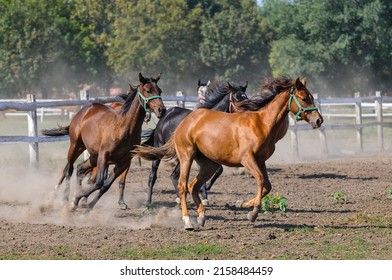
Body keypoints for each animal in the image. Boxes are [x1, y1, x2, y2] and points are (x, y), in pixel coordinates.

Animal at [42, 73, 165, 211]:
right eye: (148, 90)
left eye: (160, 90)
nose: (162, 110)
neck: (124, 128)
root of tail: (83, 111)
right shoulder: (104, 155)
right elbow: (99, 182)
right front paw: (77, 198)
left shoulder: (123, 162)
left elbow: (105, 185)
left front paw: (85, 203)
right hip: (76, 146)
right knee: (69, 169)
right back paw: (64, 198)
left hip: (93, 155)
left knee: (80, 169)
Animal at [133, 77, 324, 230]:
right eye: (304, 98)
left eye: (311, 97)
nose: (319, 120)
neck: (261, 124)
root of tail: (184, 121)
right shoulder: (247, 160)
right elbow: (261, 181)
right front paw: (253, 213)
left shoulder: (261, 161)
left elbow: (267, 186)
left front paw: (243, 205)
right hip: (186, 157)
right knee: (180, 185)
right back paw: (187, 221)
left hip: (209, 164)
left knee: (193, 185)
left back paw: (201, 216)